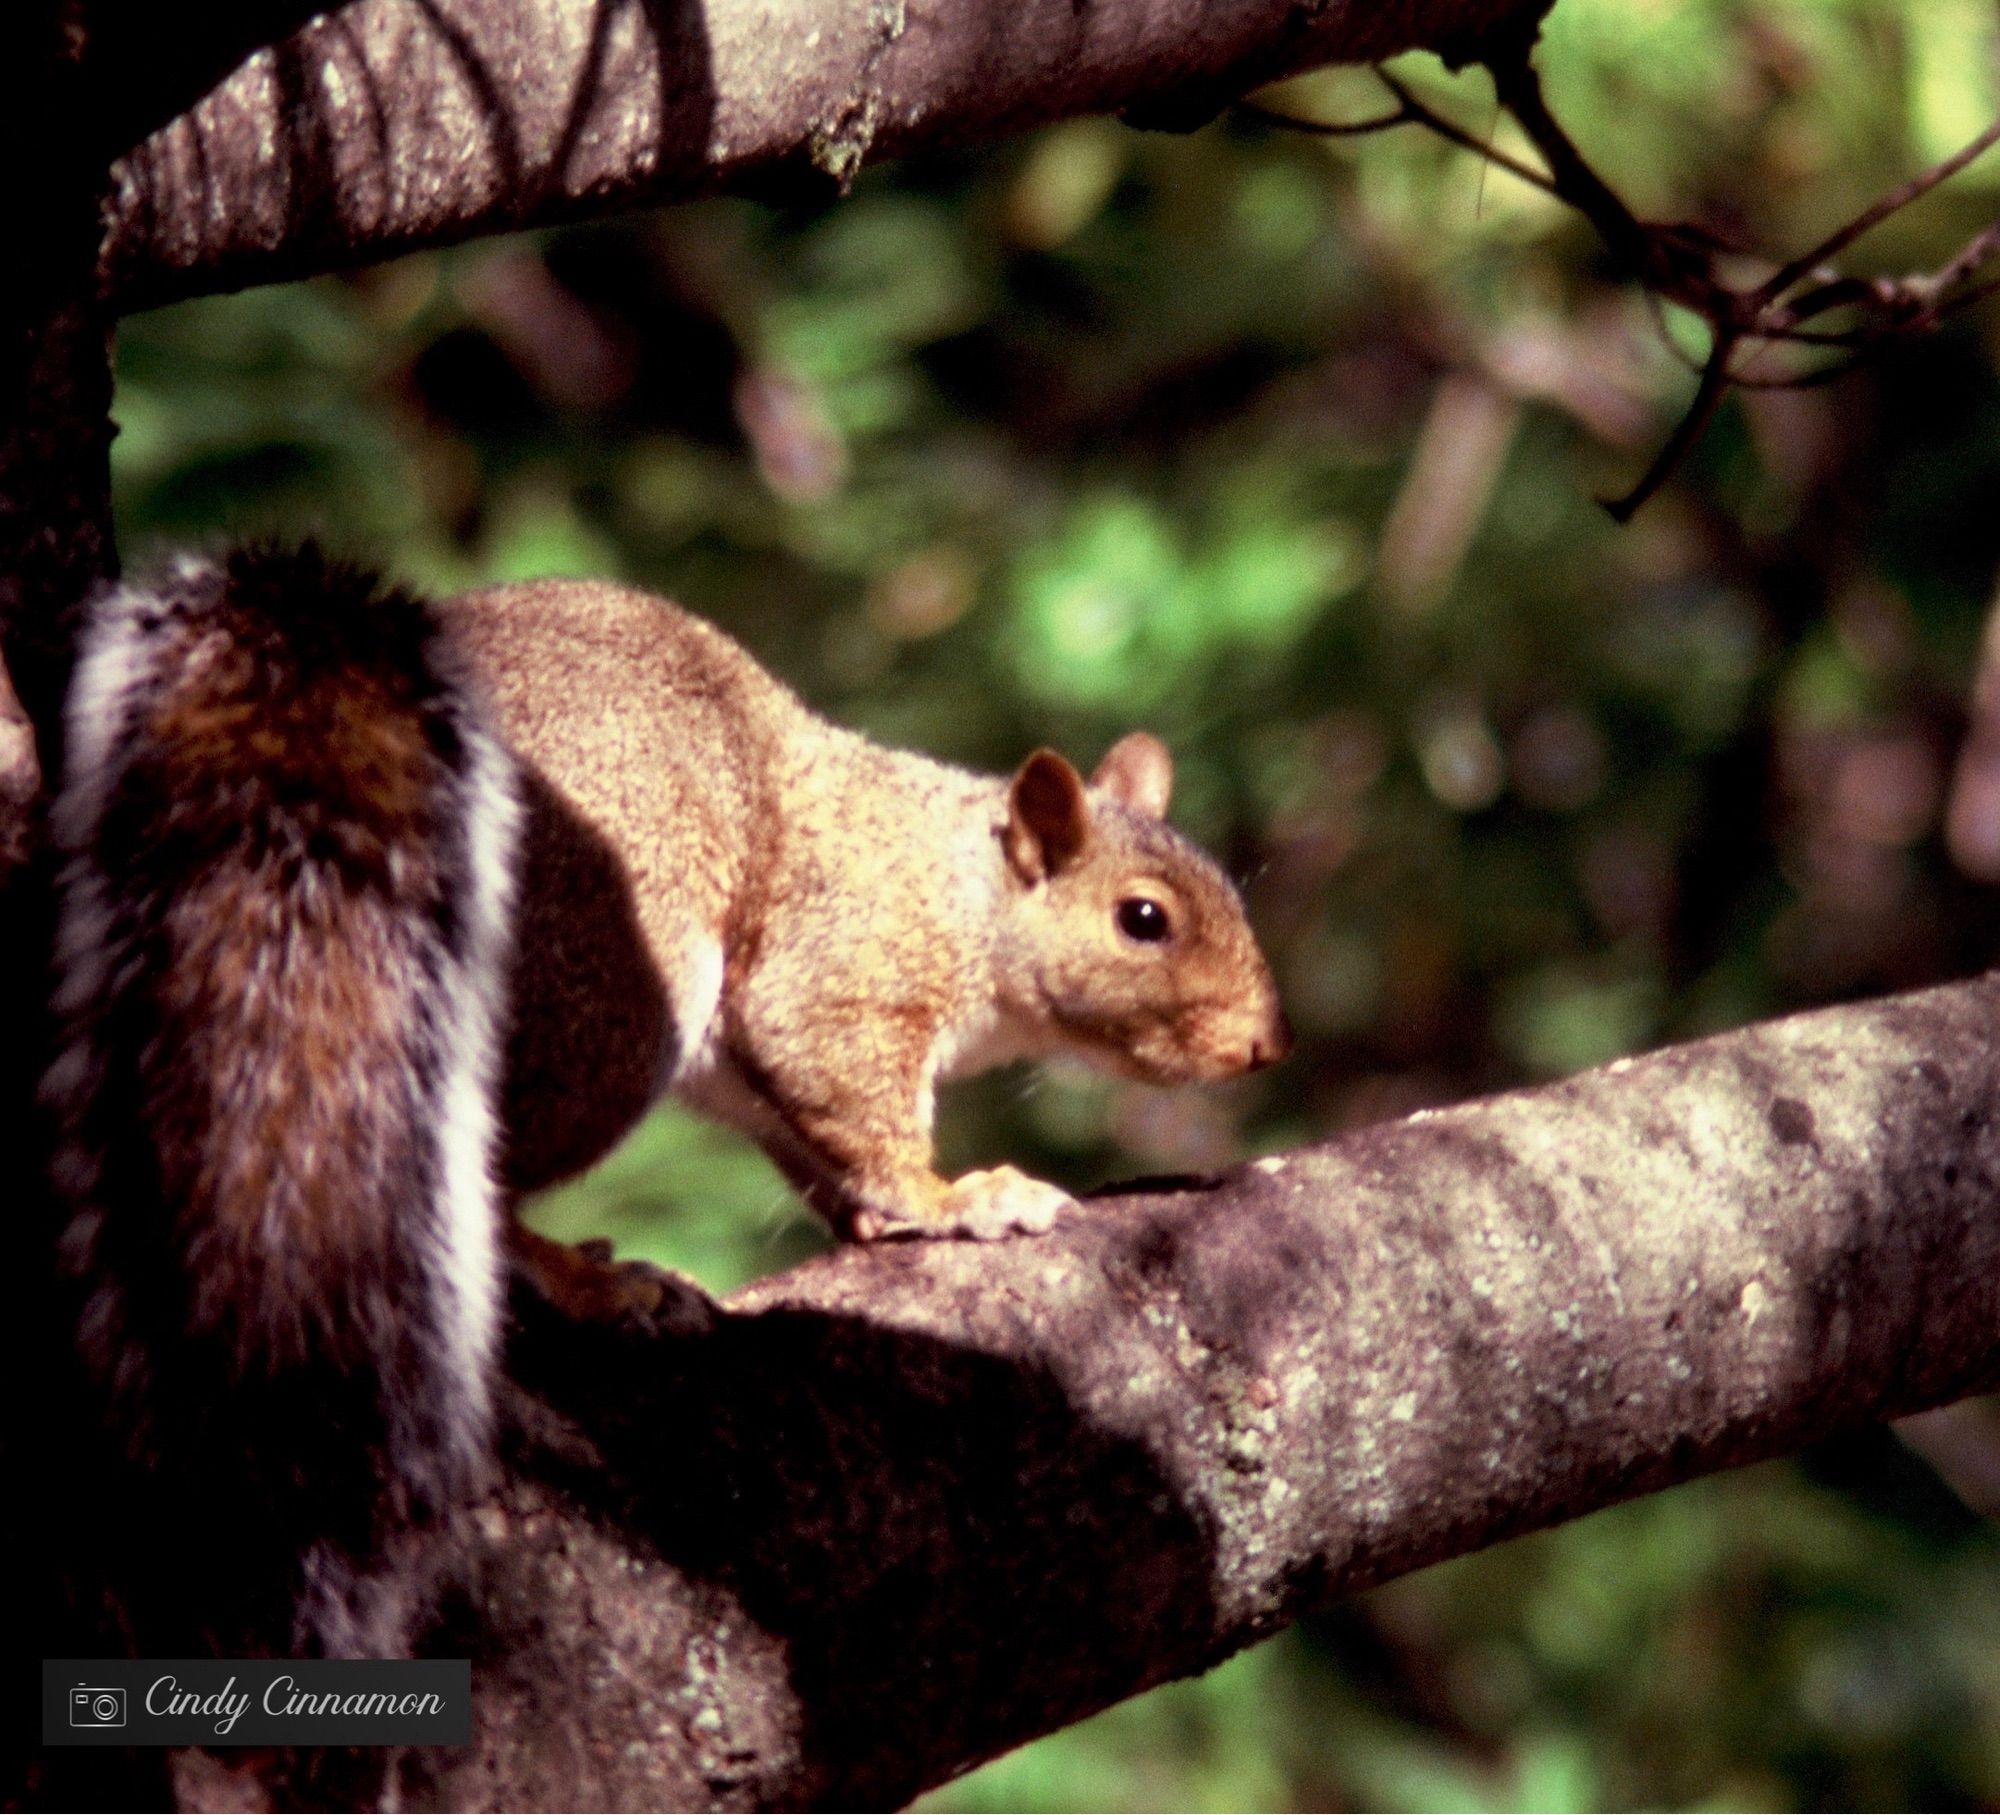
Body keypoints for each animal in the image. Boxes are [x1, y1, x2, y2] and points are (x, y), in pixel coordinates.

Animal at [50, 543, 1296, 1655]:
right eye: (1143, 919)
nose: (1265, 1045)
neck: (963, 887)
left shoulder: (751, 1078)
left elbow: (810, 1138)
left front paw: (871, 1215)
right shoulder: (842, 969)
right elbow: (852, 1093)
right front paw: (956, 1198)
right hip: (614, 993)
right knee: (486, 1182)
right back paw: (592, 1284)